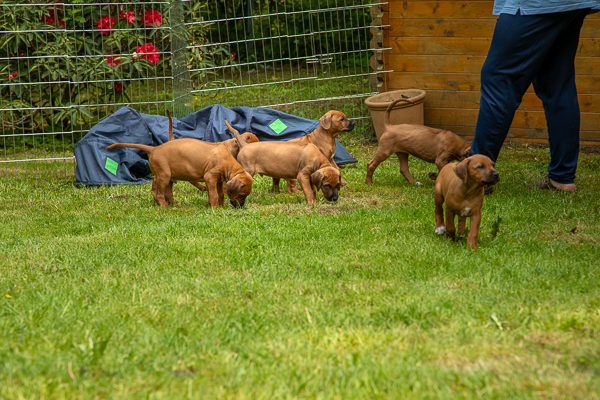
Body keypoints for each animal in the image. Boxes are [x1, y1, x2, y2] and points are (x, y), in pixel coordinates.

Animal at [107, 122, 253, 208]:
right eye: (242, 195)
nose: (240, 207)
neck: (227, 161)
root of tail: (154, 149)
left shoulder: (219, 179)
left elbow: (221, 193)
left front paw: (222, 205)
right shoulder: (210, 177)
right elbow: (214, 195)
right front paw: (215, 207)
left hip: (169, 178)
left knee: (167, 194)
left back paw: (175, 204)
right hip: (164, 175)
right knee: (159, 195)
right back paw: (166, 207)